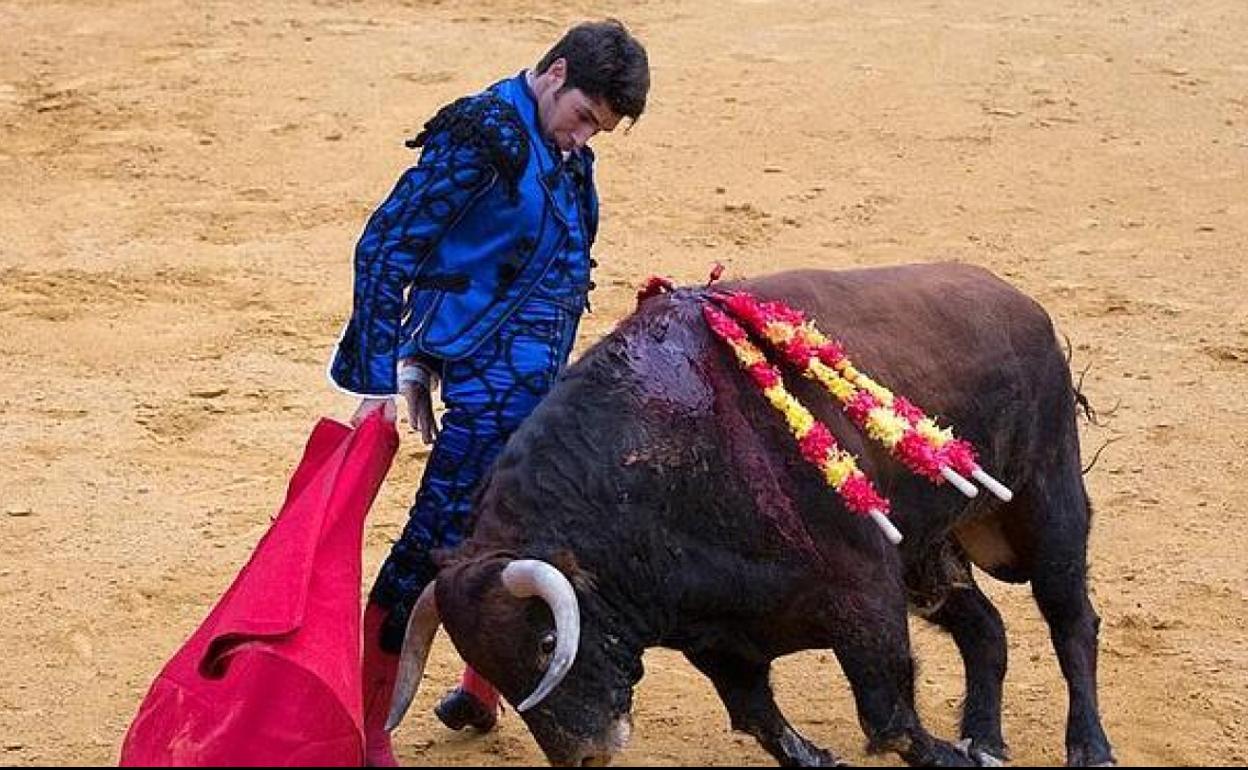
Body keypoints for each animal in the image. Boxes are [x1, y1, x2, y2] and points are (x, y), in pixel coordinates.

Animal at [386, 263, 1113, 763]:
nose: (584, 755)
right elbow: (762, 722)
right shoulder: (716, 637)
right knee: (985, 627)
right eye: (496, 673)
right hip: (929, 554)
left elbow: (890, 720)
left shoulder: (864, 595)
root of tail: (1025, 307)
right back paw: (985, 738)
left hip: (1047, 505)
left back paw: (1088, 746)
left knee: (1071, 622)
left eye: (545, 644)